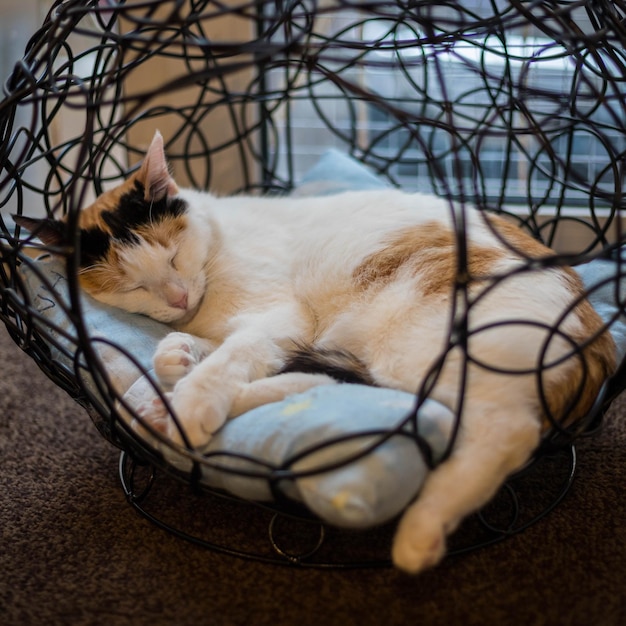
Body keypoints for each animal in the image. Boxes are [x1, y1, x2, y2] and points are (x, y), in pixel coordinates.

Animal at [15, 130, 616, 572]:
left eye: (173, 256)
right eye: (133, 286)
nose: (178, 296)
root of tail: (598, 338)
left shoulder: (279, 315)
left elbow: (233, 354)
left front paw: (194, 399)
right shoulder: (254, 327)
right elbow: (192, 346)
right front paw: (176, 360)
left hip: (425, 345)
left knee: (501, 431)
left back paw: (420, 534)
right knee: (350, 388)